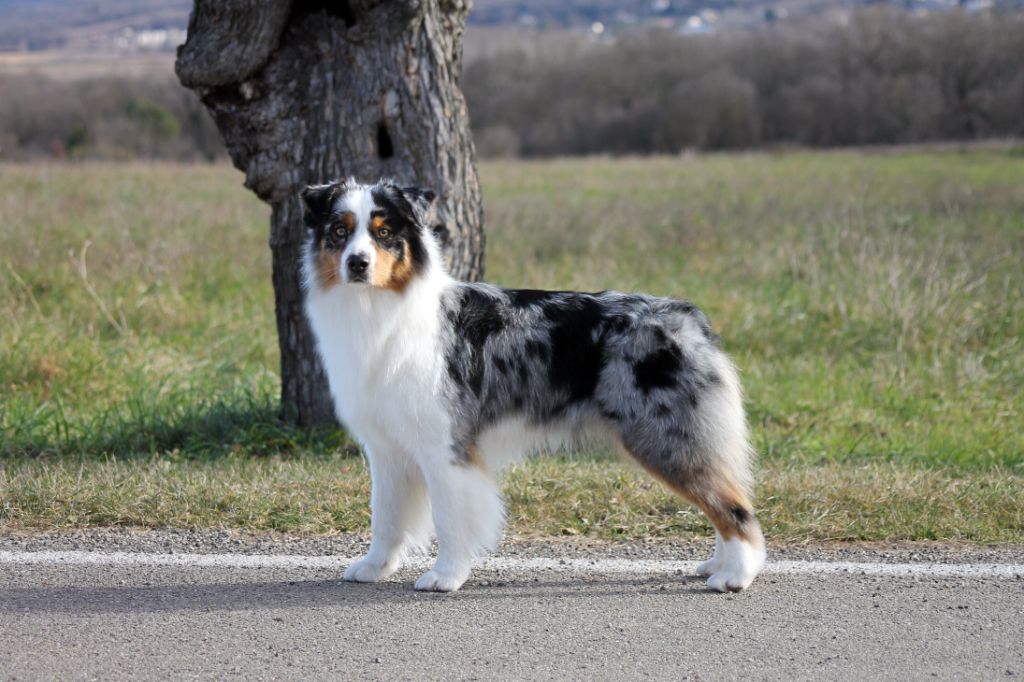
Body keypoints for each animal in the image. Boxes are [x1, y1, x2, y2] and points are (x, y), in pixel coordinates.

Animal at [299, 176, 765, 589]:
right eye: (340, 231)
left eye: (384, 233)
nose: (357, 264)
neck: (378, 310)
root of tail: (689, 318)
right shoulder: (387, 446)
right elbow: (386, 516)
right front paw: (374, 567)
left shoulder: (447, 444)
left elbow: (450, 518)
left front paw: (445, 576)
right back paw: (717, 564)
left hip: (665, 435)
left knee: (735, 508)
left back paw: (735, 576)